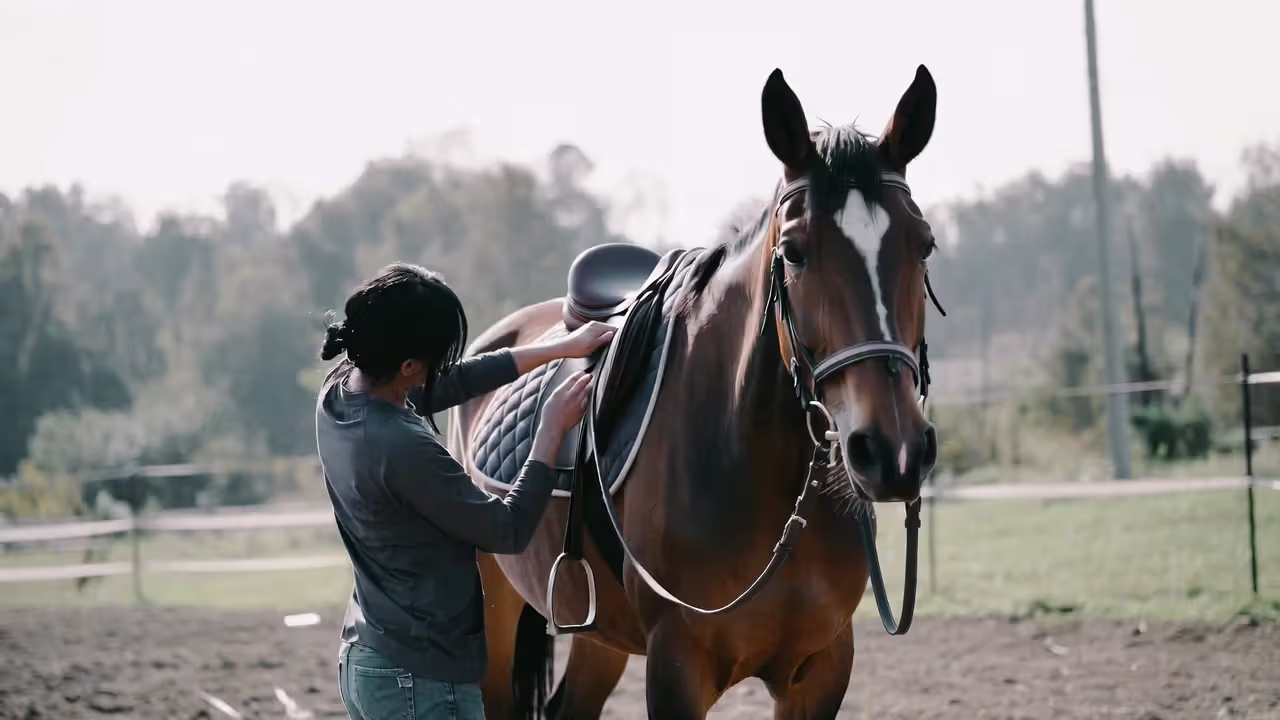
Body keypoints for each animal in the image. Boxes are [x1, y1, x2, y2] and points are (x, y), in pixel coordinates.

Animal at [448, 65, 943, 719]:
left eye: (924, 244)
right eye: (794, 252)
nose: (893, 451)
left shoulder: (823, 669)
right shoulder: (676, 666)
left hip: (597, 630)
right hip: (493, 608)